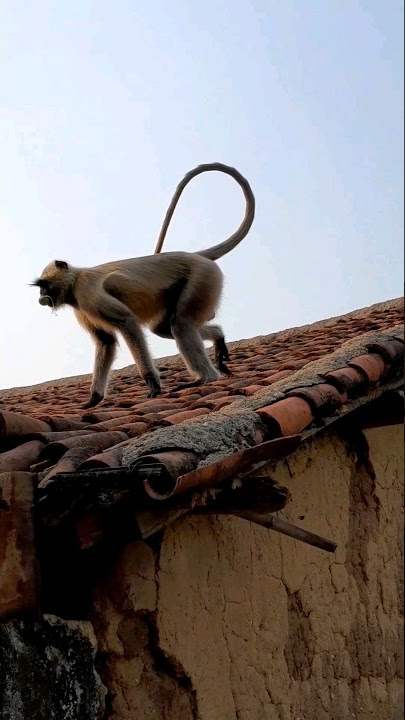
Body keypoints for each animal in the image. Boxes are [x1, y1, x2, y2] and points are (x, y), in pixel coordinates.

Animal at [31, 162, 255, 408]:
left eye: (44, 285)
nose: (41, 296)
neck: (76, 279)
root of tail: (196, 256)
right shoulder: (80, 307)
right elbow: (106, 343)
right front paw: (94, 398)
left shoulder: (86, 294)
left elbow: (127, 322)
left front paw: (152, 382)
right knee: (165, 328)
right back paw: (217, 336)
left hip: (202, 277)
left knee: (180, 324)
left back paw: (205, 378)